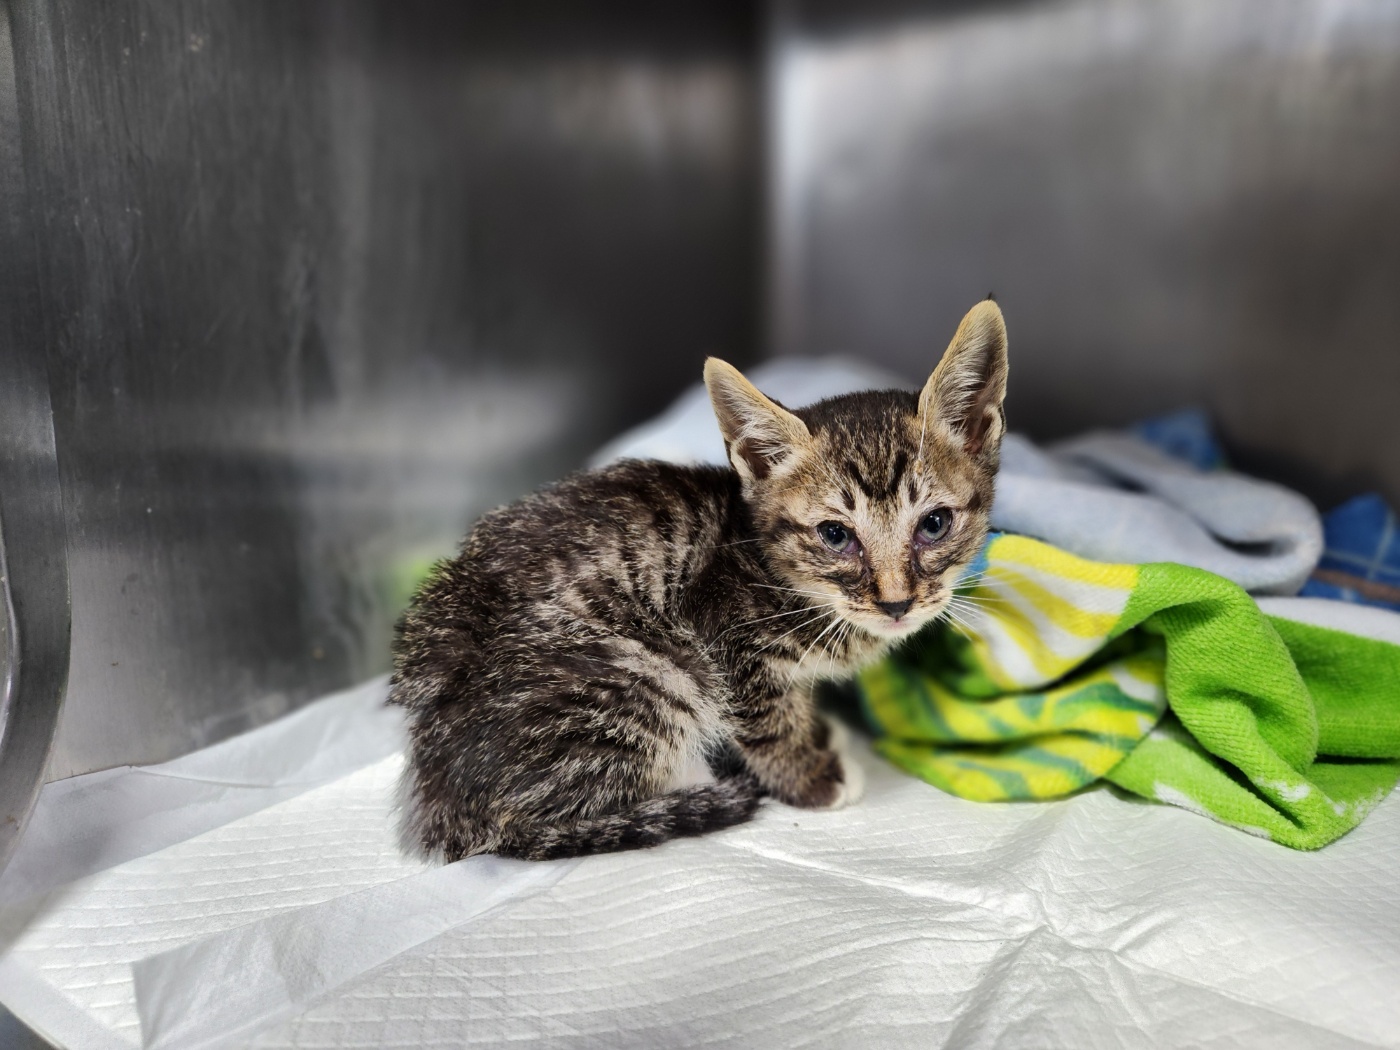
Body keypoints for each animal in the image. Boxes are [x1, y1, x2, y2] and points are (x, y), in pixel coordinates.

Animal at [389, 299, 1013, 856]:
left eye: (934, 524)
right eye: (836, 535)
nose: (896, 604)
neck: (781, 575)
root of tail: (440, 795)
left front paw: (819, 734)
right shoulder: (721, 632)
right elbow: (766, 719)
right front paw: (808, 777)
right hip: (649, 671)